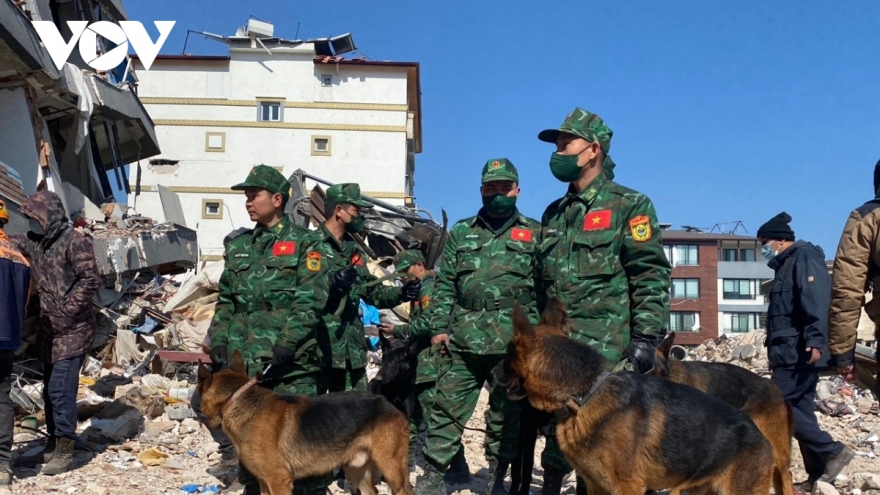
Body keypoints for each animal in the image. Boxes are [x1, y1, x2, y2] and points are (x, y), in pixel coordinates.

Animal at [197, 350, 416, 495]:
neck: (237, 400)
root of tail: (388, 403)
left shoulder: (279, 480)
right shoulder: (264, 482)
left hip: (391, 469)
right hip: (356, 471)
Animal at [492, 300, 772, 495]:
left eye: (508, 354)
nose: (492, 372)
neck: (584, 395)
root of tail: (758, 434)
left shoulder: (627, 486)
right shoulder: (596, 486)